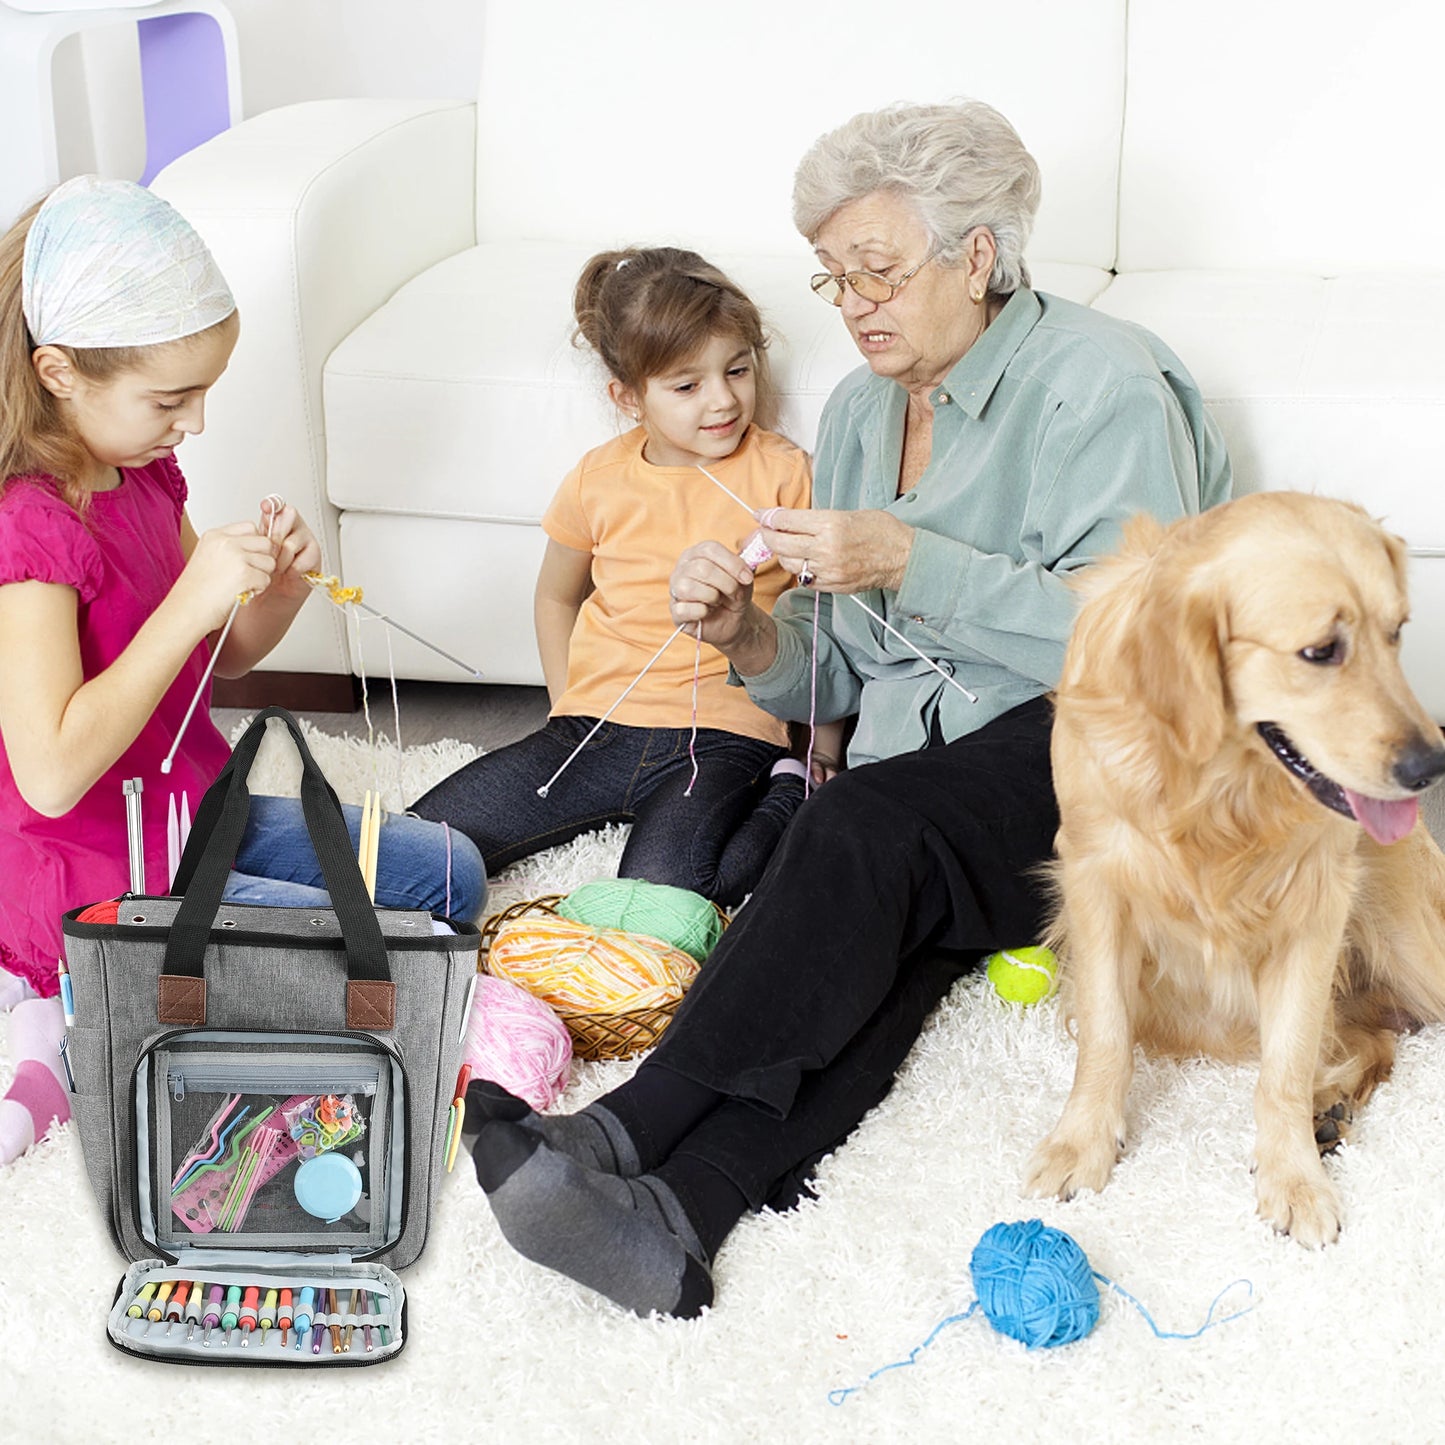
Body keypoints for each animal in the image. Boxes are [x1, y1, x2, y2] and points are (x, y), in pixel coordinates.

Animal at [1023, 494, 1445, 1242]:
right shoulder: (1096, 883)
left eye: (1396, 633)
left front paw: (1294, 1178)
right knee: (1372, 1038)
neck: (1220, 790)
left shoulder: (1316, 907)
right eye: (1320, 651)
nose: (1432, 766)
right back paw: (1331, 1104)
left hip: (1405, 930)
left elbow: (1286, 1063)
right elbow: (1104, 1034)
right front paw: (1081, 1144)